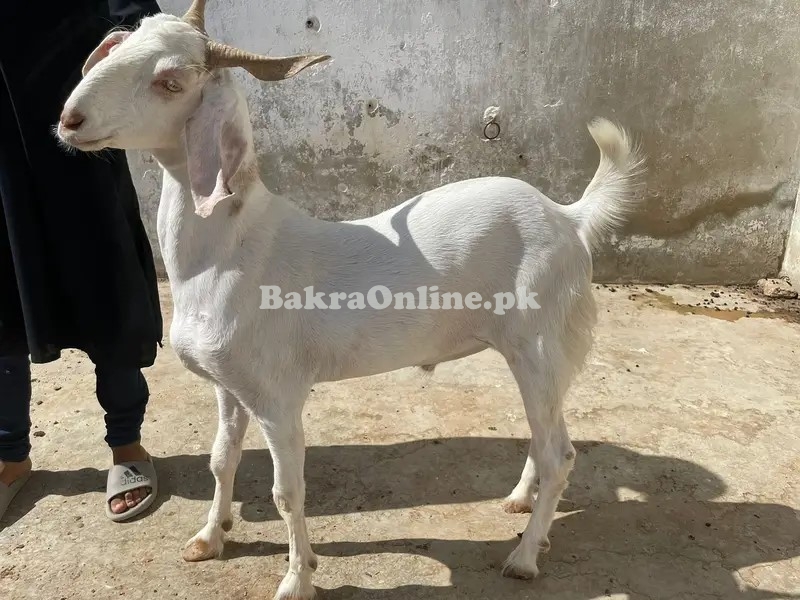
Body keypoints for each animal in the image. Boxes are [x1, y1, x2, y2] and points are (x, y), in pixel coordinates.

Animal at [61, 2, 648, 596]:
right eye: (119, 44)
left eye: (171, 82)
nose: (70, 119)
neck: (232, 246)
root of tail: (568, 217)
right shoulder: (229, 386)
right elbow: (221, 461)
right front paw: (209, 538)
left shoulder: (278, 396)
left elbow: (286, 493)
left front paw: (297, 578)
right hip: (537, 355)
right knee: (548, 435)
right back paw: (521, 505)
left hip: (540, 344)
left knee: (559, 453)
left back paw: (525, 556)